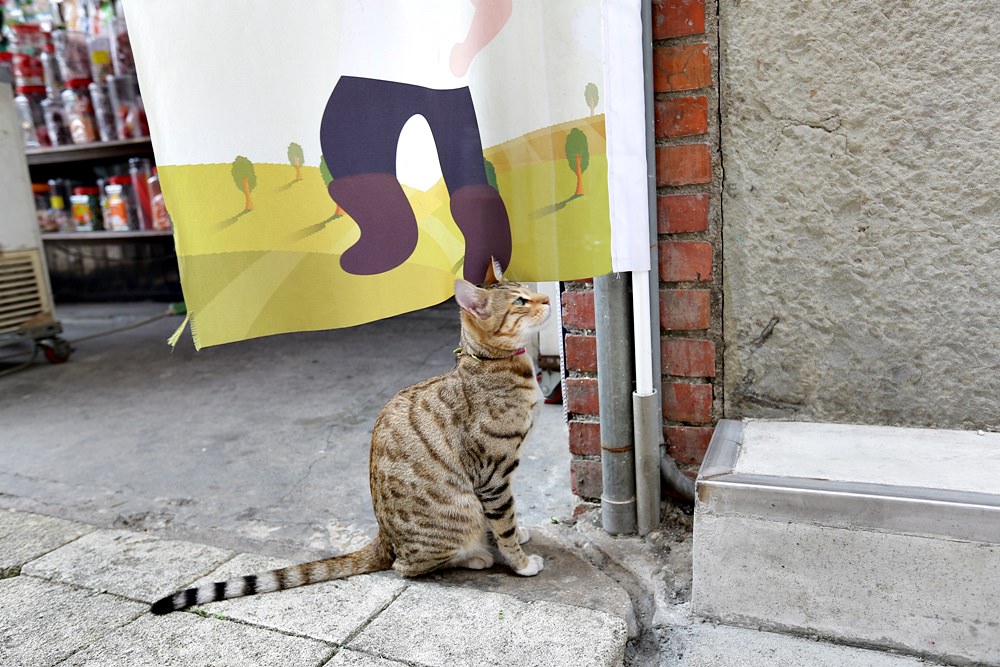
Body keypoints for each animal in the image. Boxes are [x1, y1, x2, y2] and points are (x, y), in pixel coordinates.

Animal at [152, 260, 552, 616]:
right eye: (520, 301)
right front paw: (520, 561)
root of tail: (383, 537)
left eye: (528, 290)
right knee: (408, 567)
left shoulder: (502, 478)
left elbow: (510, 515)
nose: (547, 299)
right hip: (461, 511)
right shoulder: (492, 475)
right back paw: (476, 556)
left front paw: (520, 532)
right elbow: (504, 523)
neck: (491, 362)